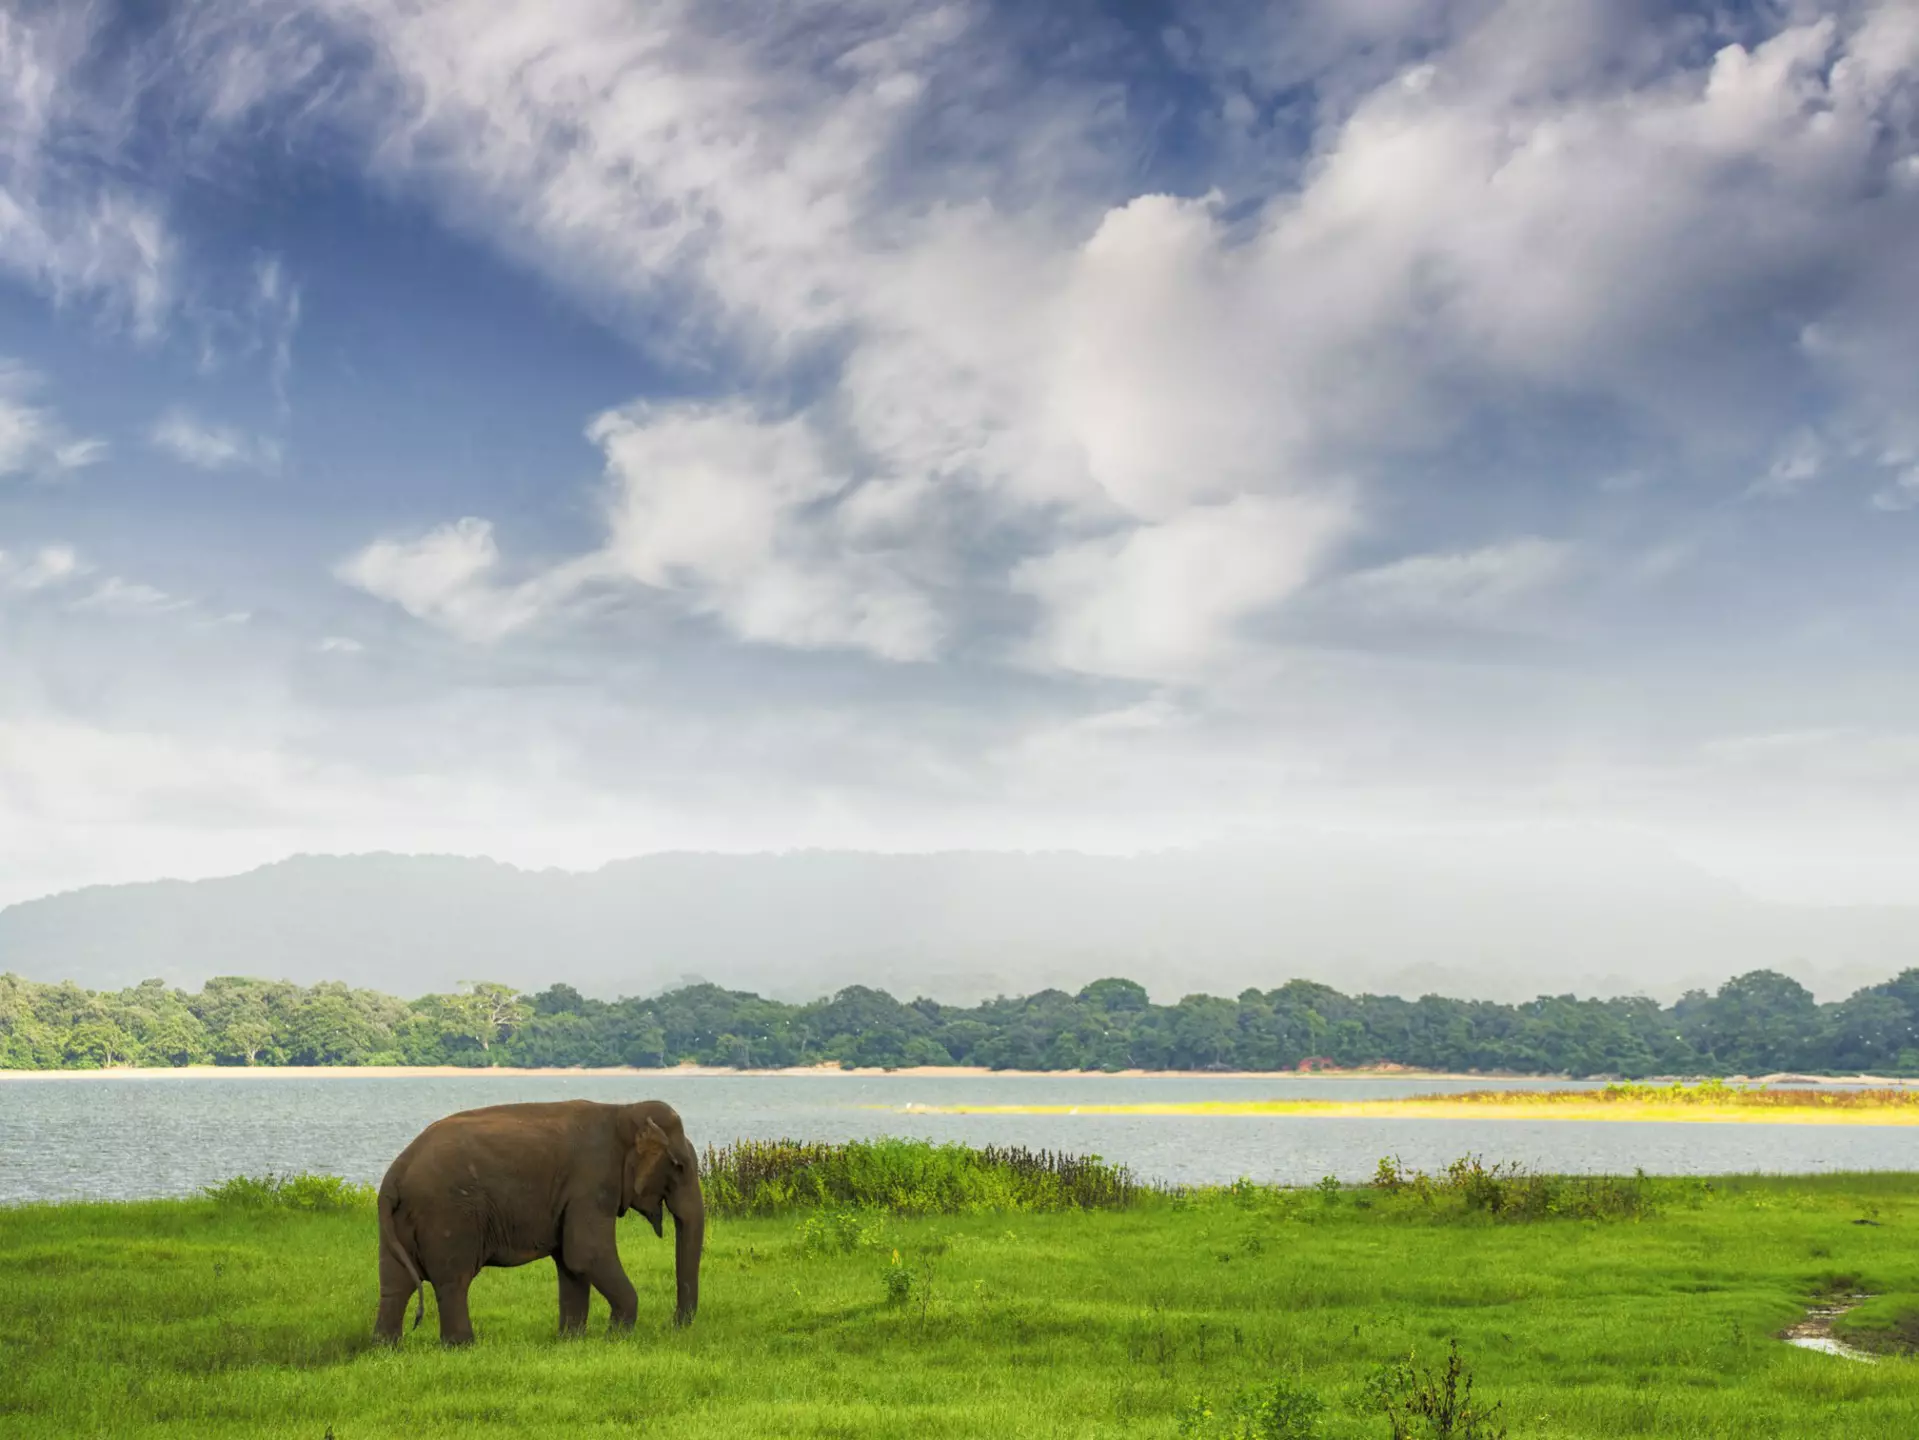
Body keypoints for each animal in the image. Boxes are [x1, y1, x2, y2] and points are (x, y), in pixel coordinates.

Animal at [373, 1098, 703, 1345]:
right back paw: (462, 1346)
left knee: (395, 1282)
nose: (673, 1325)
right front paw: (617, 1337)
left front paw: (571, 1340)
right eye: (680, 1166)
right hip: (448, 1215)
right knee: (453, 1280)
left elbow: (571, 1263)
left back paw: (387, 1348)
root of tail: (395, 1174)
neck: (623, 1109)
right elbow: (586, 1253)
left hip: (399, 1221)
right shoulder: (591, 1182)